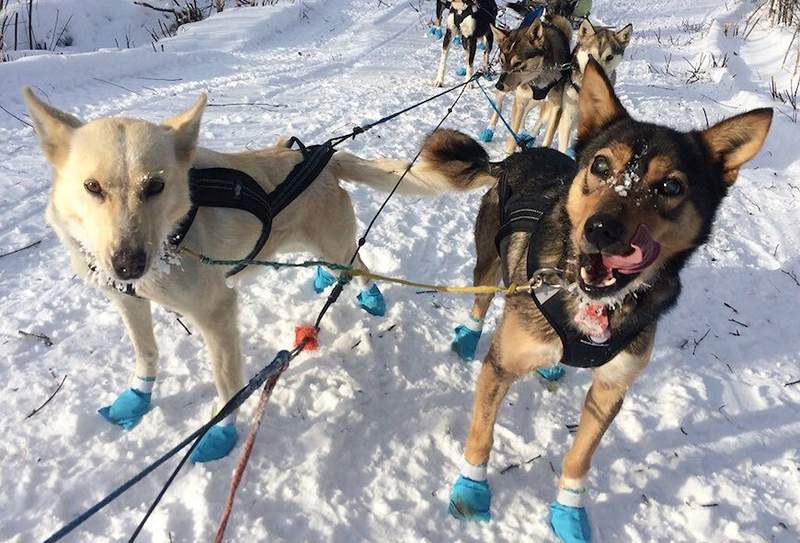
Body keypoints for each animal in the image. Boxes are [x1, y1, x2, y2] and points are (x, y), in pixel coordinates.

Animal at [418, 58, 768, 540]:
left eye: (671, 187)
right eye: (601, 165)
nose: (602, 229)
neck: (594, 306)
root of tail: (516, 156)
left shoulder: (610, 389)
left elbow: (580, 457)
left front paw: (569, 510)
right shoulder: (501, 368)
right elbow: (482, 435)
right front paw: (471, 489)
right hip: (489, 262)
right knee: (481, 300)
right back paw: (468, 337)